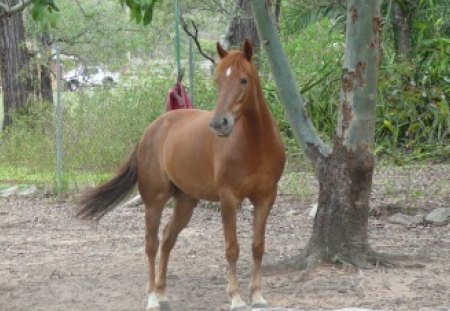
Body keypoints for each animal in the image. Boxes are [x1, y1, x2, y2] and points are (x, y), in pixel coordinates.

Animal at [77, 40, 284, 310]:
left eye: (243, 80)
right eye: (218, 80)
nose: (219, 123)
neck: (256, 143)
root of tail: (151, 130)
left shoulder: (266, 197)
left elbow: (258, 246)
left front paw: (257, 296)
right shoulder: (228, 199)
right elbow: (232, 248)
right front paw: (236, 298)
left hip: (186, 202)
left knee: (167, 239)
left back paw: (163, 293)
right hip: (154, 201)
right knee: (152, 245)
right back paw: (152, 298)